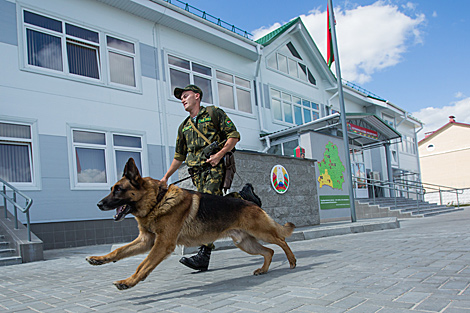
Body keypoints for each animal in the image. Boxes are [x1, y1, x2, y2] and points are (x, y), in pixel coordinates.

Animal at [86, 157, 296, 288]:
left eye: (118, 189)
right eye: (111, 189)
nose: (98, 204)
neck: (157, 201)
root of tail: (251, 203)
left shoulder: (162, 243)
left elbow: (143, 264)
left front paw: (128, 282)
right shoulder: (146, 241)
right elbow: (119, 251)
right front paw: (99, 259)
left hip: (262, 233)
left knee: (282, 241)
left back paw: (293, 261)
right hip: (245, 243)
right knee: (268, 252)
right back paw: (264, 269)